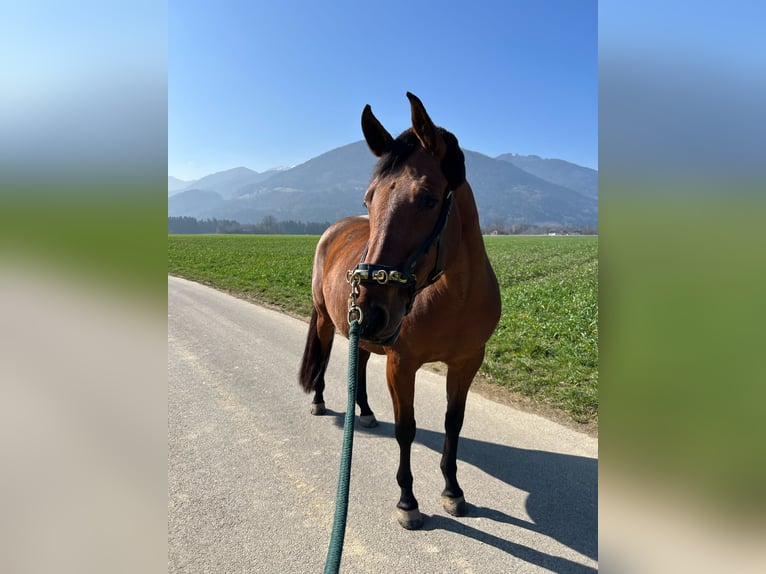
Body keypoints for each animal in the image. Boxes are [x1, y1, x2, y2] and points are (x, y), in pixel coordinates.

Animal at [296, 93, 500, 532]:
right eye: (369, 199)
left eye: (427, 199)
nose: (371, 308)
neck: (454, 296)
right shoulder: (402, 364)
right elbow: (406, 429)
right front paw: (408, 500)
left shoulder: (467, 363)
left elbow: (453, 424)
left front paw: (453, 490)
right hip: (325, 320)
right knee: (324, 357)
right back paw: (319, 401)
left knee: (359, 367)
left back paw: (367, 412)